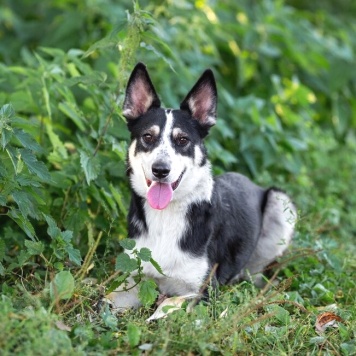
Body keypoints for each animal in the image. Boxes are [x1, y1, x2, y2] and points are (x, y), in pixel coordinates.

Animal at [106, 63, 298, 312]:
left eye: (182, 140)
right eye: (147, 137)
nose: (161, 170)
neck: (166, 217)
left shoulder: (205, 293)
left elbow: (168, 304)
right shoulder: (133, 279)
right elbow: (105, 300)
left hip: (280, 201)